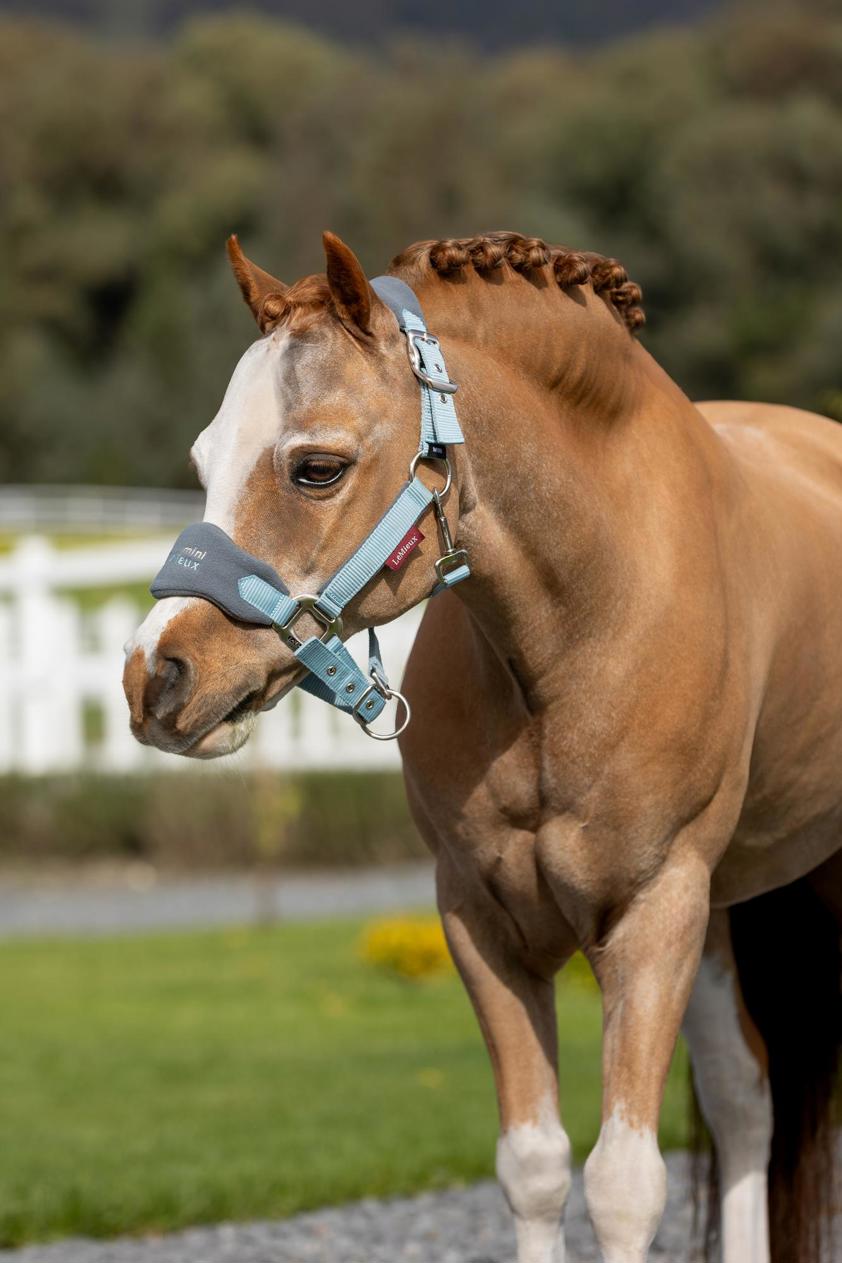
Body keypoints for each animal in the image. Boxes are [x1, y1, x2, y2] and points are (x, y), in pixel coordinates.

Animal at [121, 229, 838, 1263]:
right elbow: (535, 1167)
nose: (156, 677)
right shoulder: (483, 920)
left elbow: (625, 1184)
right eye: (203, 456)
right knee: (744, 1092)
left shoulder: (653, 910)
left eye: (316, 467)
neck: (587, 621)